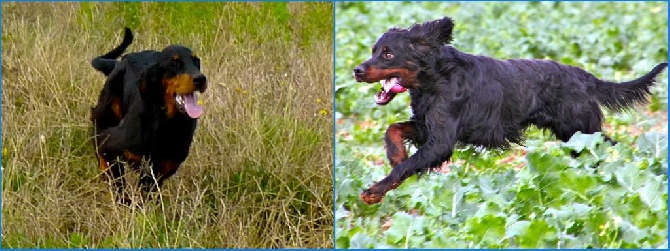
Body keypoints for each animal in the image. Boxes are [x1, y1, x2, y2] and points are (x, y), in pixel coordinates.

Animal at [90, 27, 207, 204]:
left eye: (196, 61)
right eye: (173, 63)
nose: (201, 79)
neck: (166, 122)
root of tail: (119, 62)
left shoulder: (162, 167)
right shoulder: (111, 144)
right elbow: (116, 179)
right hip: (106, 110)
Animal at [354, 16, 668, 204]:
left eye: (388, 53)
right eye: (373, 50)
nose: (357, 70)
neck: (435, 76)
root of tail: (583, 76)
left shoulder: (441, 141)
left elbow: (407, 166)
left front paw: (374, 191)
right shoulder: (427, 126)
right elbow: (394, 129)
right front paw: (395, 154)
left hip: (580, 130)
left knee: (610, 146)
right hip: (575, 137)